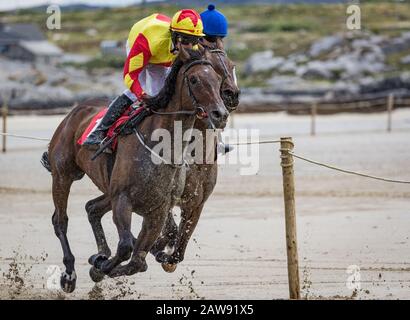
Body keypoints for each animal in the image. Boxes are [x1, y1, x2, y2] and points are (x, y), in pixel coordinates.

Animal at [43, 47, 229, 292]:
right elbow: (125, 248)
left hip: (106, 188)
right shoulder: (123, 200)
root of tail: (73, 113)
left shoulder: (161, 209)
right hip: (63, 175)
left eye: (217, 78)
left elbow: (138, 261)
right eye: (194, 79)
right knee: (60, 221)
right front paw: (101, 265)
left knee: (92, 208)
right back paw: (69, 274)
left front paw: (99, 264)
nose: (221, 114)